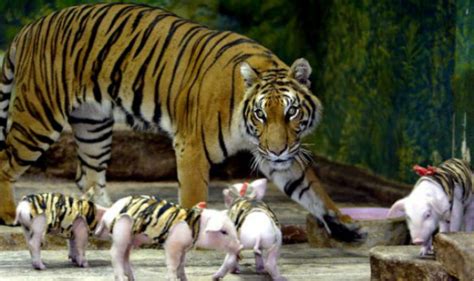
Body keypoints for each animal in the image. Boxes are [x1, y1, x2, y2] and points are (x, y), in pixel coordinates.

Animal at [0, 2, 362, 241]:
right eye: (260, 114)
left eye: (291, 112)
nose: (276, 151)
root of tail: (31, 27)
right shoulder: (192, 147)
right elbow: (193, 195)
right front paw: (193, 230)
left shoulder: (281, 154)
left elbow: (312, 189)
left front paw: (344, 222)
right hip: (39, 117)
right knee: (5, 159)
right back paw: (8, 214)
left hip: (94, 126)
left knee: (86, 177)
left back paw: (108, 216)